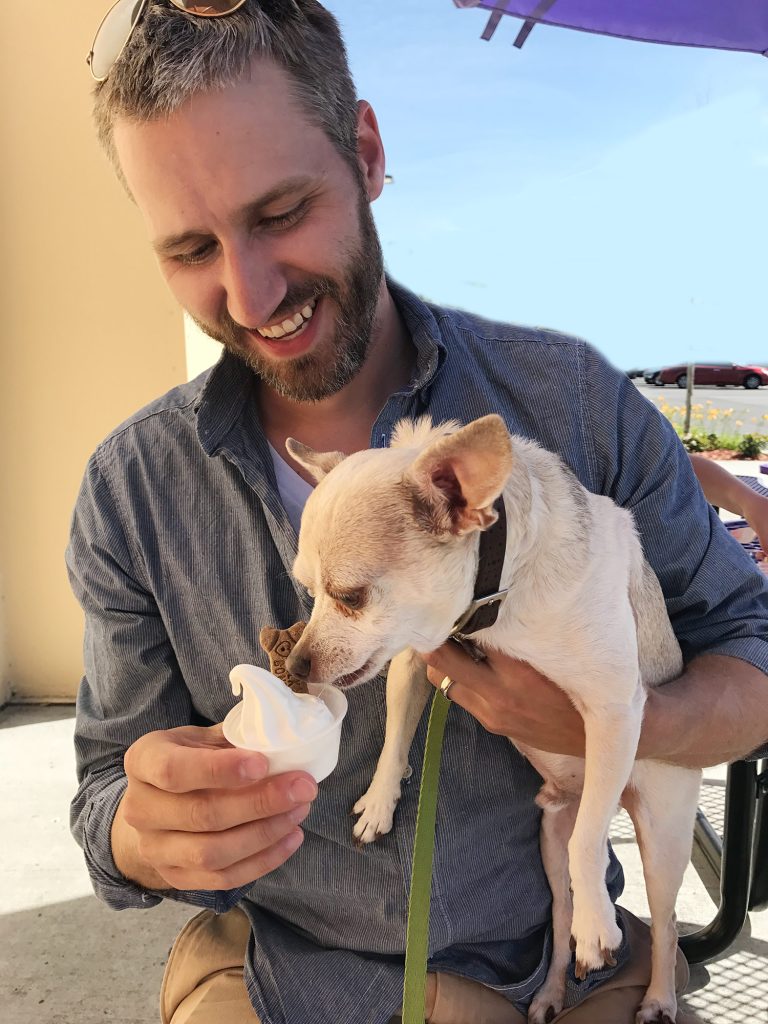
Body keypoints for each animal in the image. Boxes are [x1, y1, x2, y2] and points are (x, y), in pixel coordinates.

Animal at [284, 415, 704, 1024]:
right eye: (310, 593)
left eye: (351, 597)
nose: (296, 663)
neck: (495, 604)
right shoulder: (414, 659)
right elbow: (395, 739)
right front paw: (380, 804)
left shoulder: (613, 712)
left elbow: (589, 842)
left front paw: (598, 927)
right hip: (551, 841)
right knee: (560, 911)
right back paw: (551, 992)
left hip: (662, 840)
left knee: (664, 921)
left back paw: (656, 998)